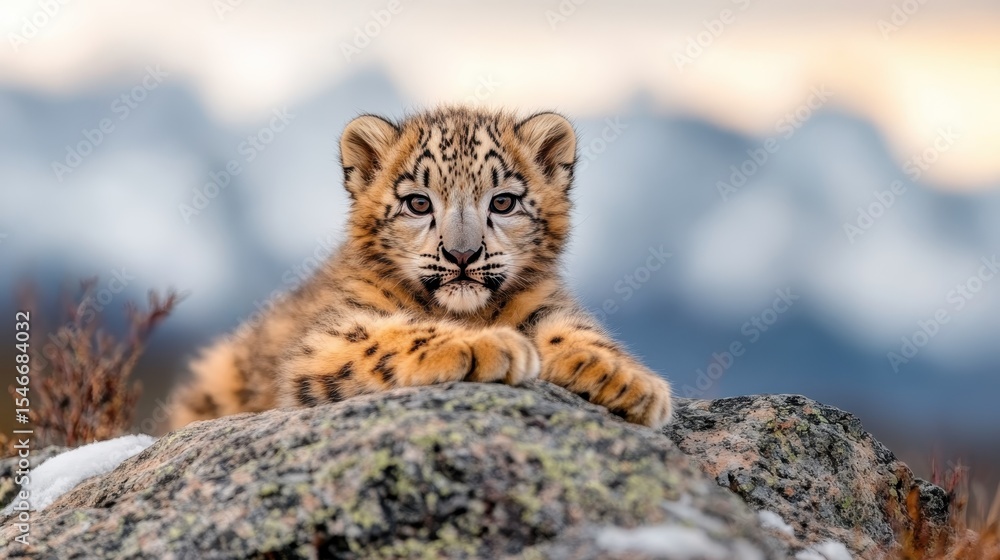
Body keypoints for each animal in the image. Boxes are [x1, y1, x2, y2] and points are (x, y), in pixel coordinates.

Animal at [167, 106, 673, 430]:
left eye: (503, 202)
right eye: (418, 203)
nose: (462, 254)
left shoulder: (543, 302)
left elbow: (577, 331)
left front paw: (625, 378)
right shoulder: (330, 334)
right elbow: (390, 335)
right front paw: (483, 344)